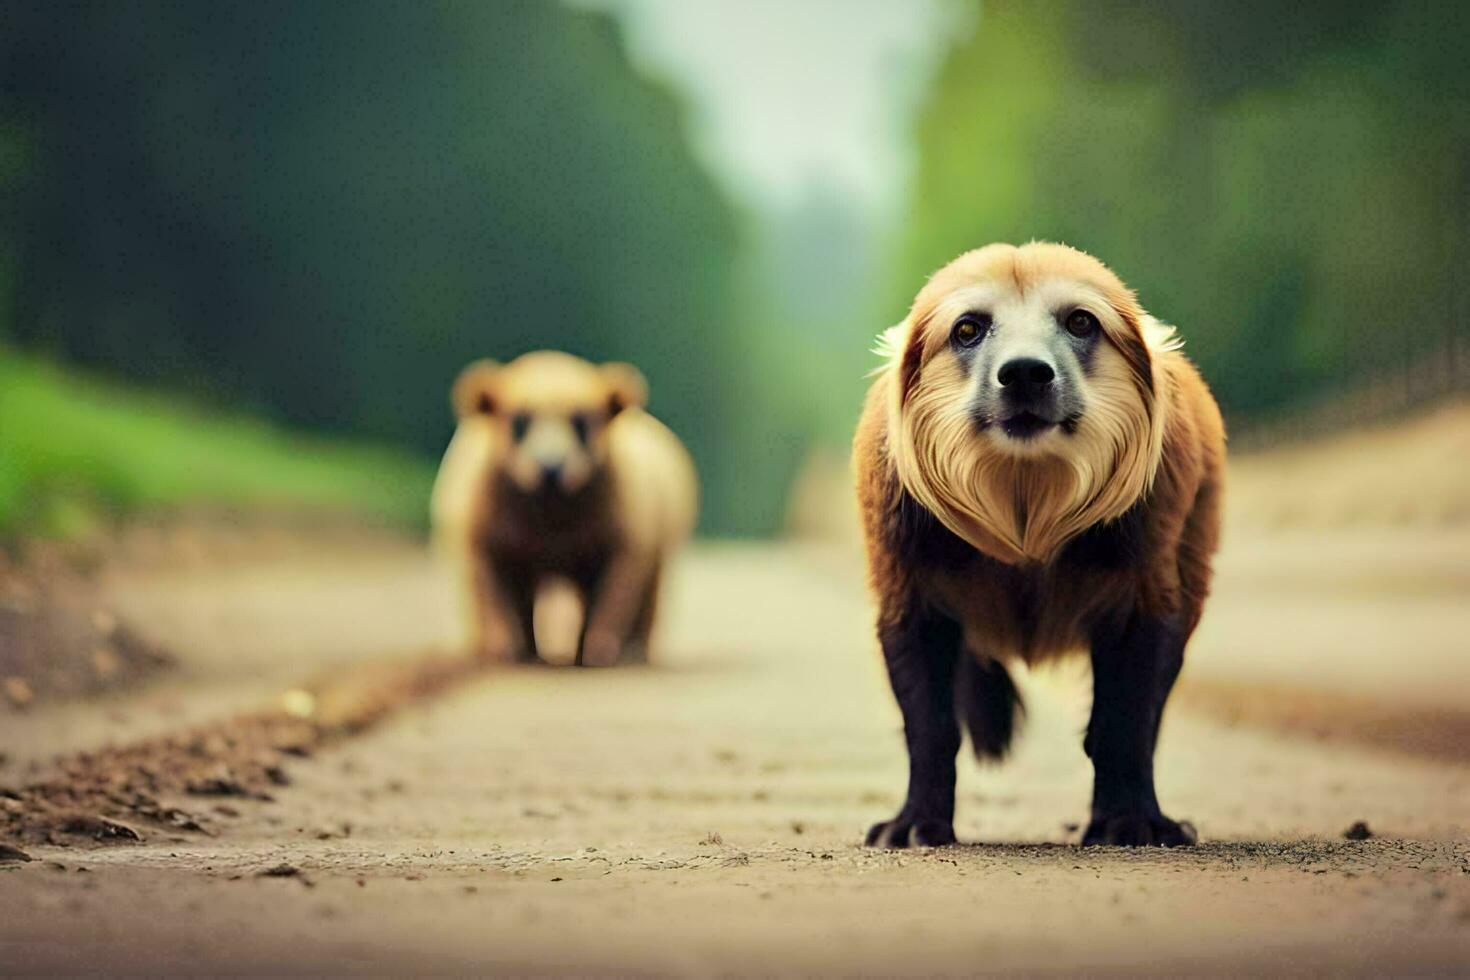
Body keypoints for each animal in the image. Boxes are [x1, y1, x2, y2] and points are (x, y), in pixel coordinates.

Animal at [432, 352, 696, 667]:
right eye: (519, 421)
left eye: (582, 422)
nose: (550, 466)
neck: (552, 516)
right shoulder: (483, 531)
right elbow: (492, 590)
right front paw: (504, 651)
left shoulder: (626, 531)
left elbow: (615, 591)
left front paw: (597, 653)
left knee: (649, 588)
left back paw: (633, 651)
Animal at [858, 240, 1223, 846]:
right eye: (968, 329)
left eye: (1081, 321)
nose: (1025, 374)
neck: (1026, 511)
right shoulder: (909, 601)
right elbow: (931, 728)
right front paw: (916, 822)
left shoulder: (1147, 604)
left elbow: (1124, 725)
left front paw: (1130, 820)